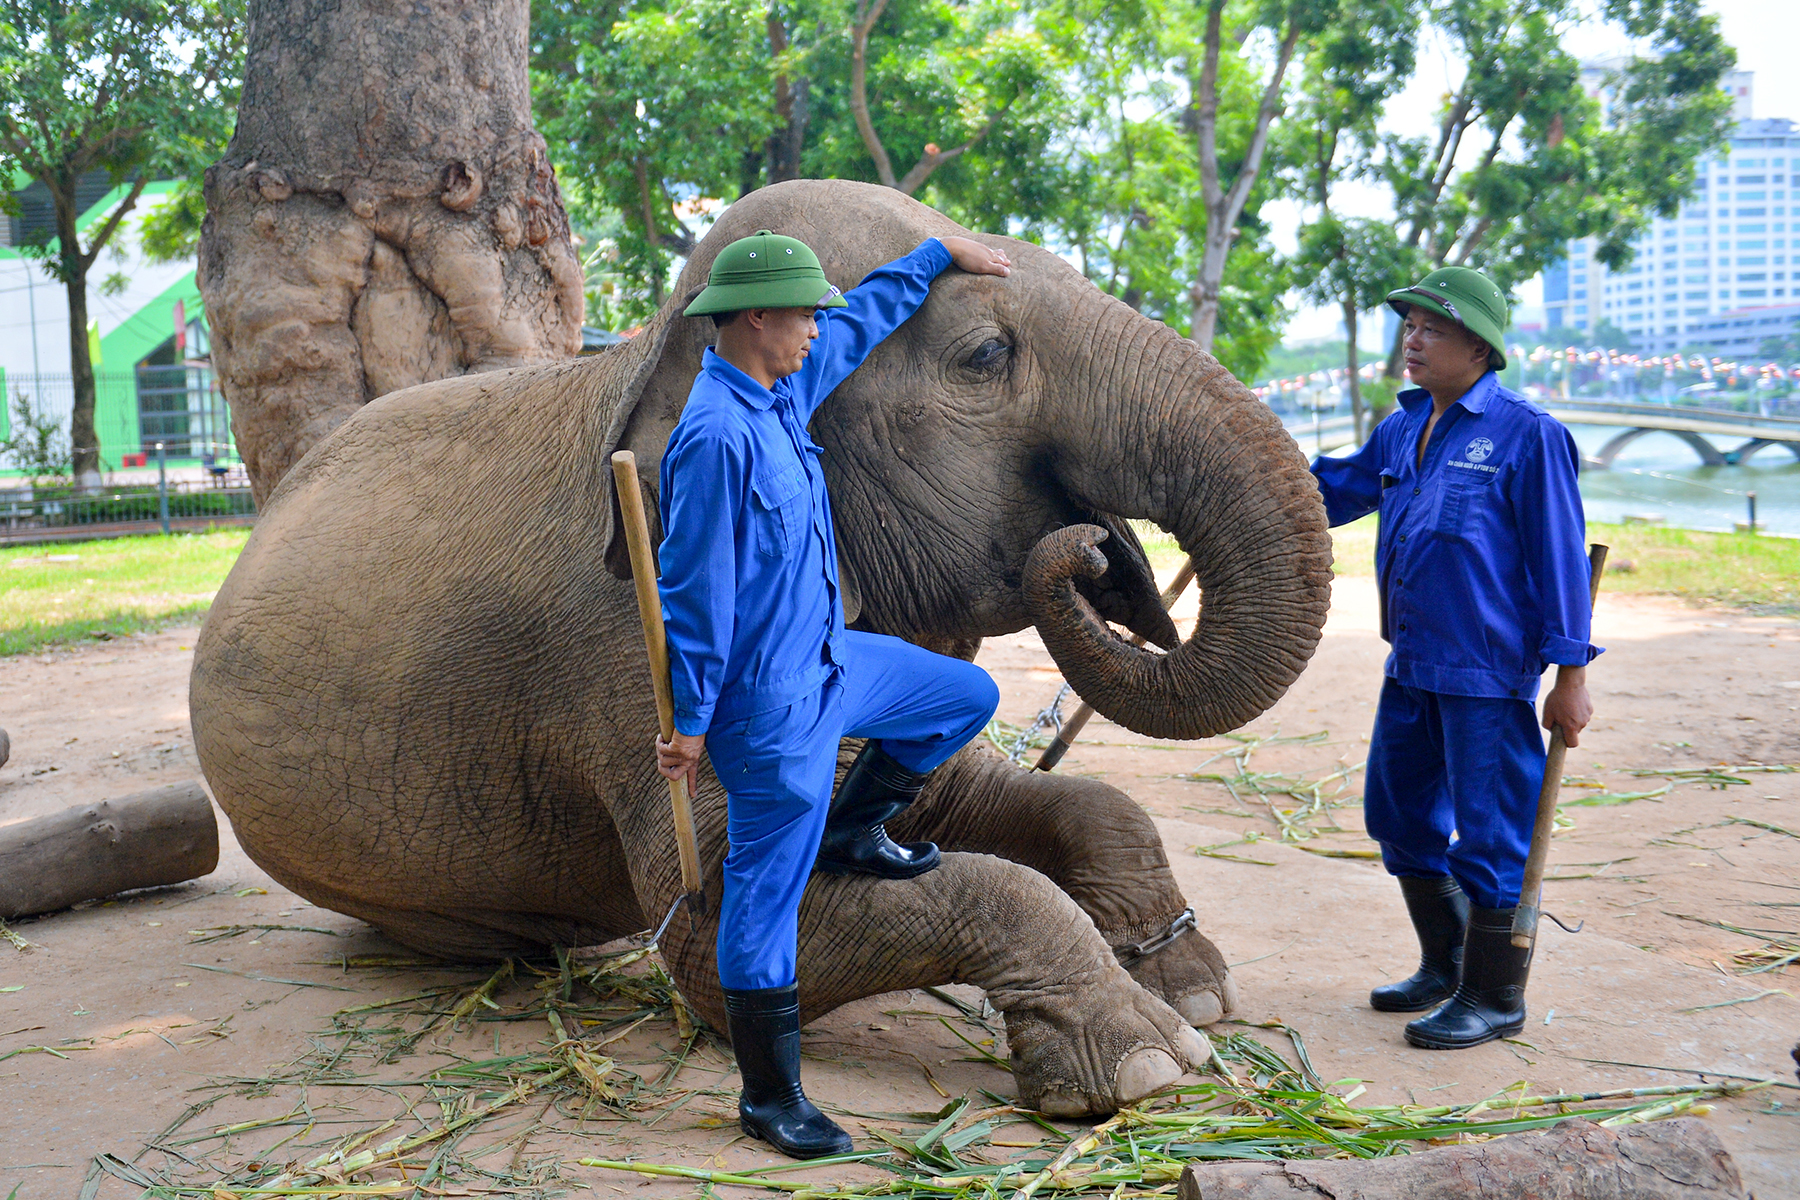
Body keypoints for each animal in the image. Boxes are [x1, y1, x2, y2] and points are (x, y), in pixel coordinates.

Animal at [193, 178, 1339, 1115]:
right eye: (985, 357)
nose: (1092, 549)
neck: (656, 349)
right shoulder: (644, 643)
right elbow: (716, 931)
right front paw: (1151, 1058)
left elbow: (1035, 798)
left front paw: (1199, 989)